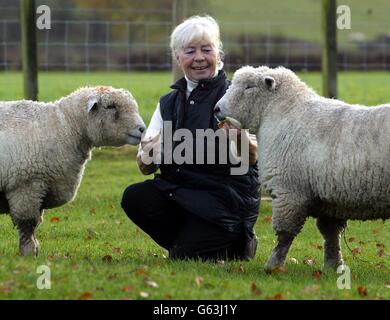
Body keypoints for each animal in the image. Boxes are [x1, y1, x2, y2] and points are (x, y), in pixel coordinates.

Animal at [0, 86, 146, 256]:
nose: (142, 129)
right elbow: (27, 225)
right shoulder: (26, 186)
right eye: (111, 106)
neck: (64, 128)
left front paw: (34, 250)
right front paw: (28, 254)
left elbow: (35, 224)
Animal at [215, 66, 390, 272]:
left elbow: (285, 234)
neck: (285, 112)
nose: (217, 109)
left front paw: (273, 266)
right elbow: (330, 234)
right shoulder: (329, 198)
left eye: (249, 87)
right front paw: (332, 267)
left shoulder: (289, 192)